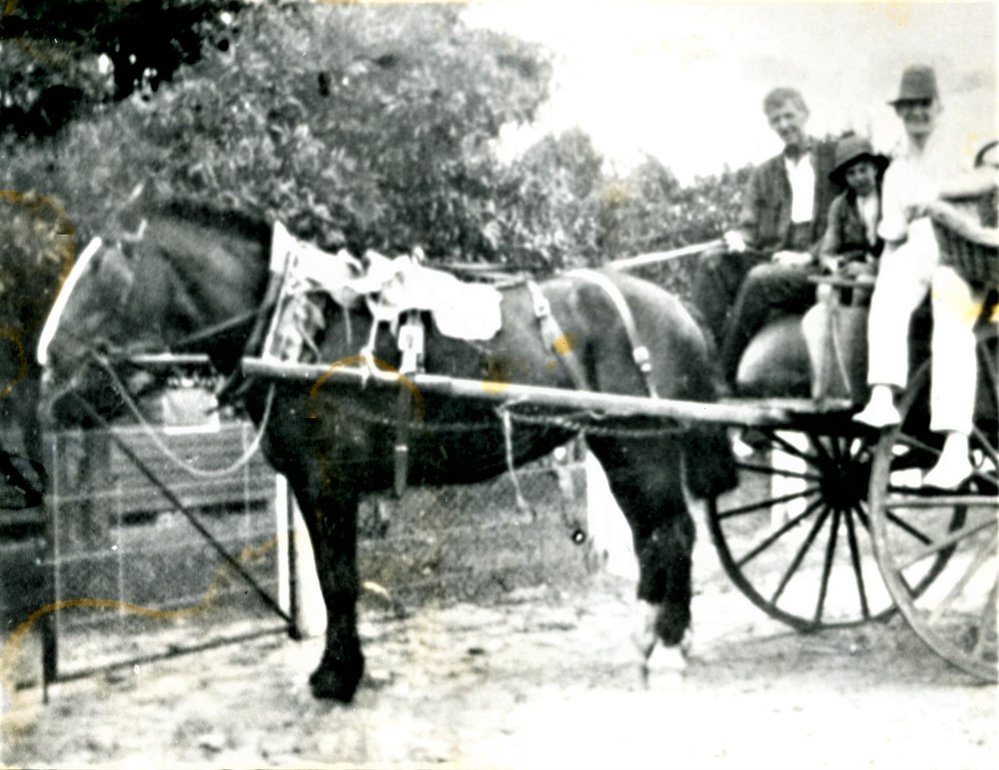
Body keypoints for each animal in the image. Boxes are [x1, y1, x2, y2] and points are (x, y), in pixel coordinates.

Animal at [39, 199, 737, 703]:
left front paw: (336, 677)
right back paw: (651, 639)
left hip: (640, 445)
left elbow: (339, 579)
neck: (299, 327)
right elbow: (333, 577)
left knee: (672, 533)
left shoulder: (328, 484)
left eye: (101, 268)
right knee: (656, 536)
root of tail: (676, 307)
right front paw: (337, 671)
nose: (45, 360)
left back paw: (669, 645)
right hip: (623, 446)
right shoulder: (315, 486)